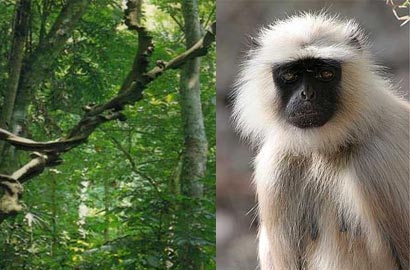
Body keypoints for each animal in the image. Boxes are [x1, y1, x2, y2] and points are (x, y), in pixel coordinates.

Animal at [232, 13, 408, 270]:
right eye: (290, 75)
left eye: (325, 74)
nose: (307, 95)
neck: (327, 148)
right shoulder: (274, 166)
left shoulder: (378, 163)